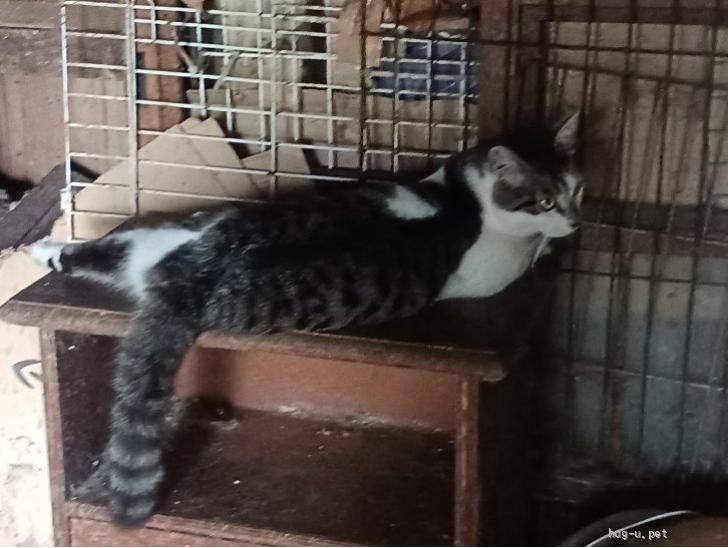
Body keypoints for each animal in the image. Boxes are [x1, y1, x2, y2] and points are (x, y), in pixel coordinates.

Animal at [30, 113, 583, 526]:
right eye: (545, 200)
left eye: (578, 188)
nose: (577, 221)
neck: (467, 200)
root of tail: (186, 274)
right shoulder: (496, 269)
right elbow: (530, 251)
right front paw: (547, 244)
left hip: (170, 232)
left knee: (107, 249)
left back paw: (50, 250)